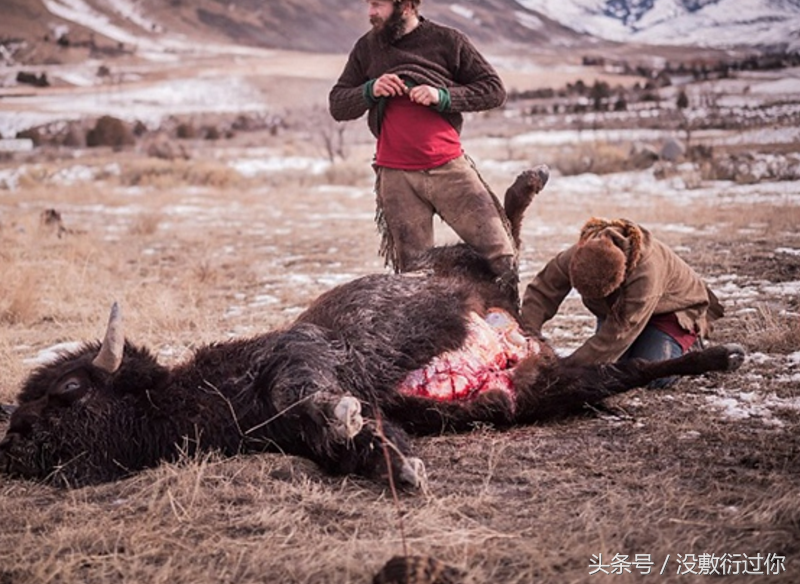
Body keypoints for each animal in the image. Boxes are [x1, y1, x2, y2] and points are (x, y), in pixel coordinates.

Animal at [0, 169, 744, 488]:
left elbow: (313, 394)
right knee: (622, 370)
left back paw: (527, 184)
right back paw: (717, 359)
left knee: (502, 241)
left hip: (466, 273)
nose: (10, 446)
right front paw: (398, 466)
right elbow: (365, 440)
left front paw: (349, 424)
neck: (216, 395)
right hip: (541, 384)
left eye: (67, 392)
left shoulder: (300, 359)